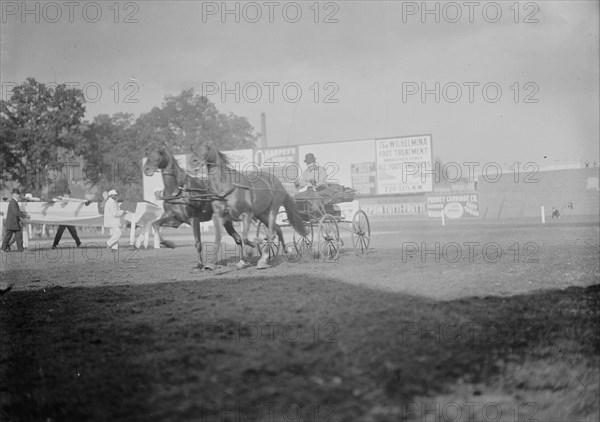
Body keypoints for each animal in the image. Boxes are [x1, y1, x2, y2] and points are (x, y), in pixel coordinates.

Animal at [191, 140, 308, 268]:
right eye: (194, 148)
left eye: (206, 147)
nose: (193, 161)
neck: (226, 188)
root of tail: (279, 184)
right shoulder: (219, 216)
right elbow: (218, 237)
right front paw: (210, 264)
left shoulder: (246, 214)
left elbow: (245, 238)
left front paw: (254, 247)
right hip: (262, 214)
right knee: (277, 229)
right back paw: (284, 251)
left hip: (273, 209)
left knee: (271, 233)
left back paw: (263, 259)